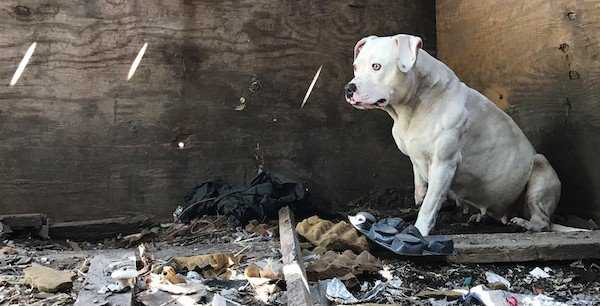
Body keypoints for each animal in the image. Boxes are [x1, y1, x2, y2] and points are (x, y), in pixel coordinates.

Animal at [344, 33, 576, 235]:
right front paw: (417, 199)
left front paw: (419, 231)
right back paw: (481, 217)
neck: (412, 108)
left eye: (376, 66)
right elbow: (421, 185)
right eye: (356, 67)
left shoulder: (444, 164)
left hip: (540, 167)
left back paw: (523, 224)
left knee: (543, 222)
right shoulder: (417, 157)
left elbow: (430, 203)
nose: (349, 88)